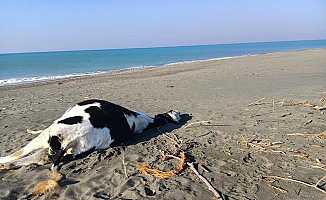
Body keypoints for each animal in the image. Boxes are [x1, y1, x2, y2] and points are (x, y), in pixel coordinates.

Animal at [0, 99, 181, 170]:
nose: (179, 112)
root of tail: (71, 139)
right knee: (27, 159)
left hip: (46, 138)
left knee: (16, 156)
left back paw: (4, 163)